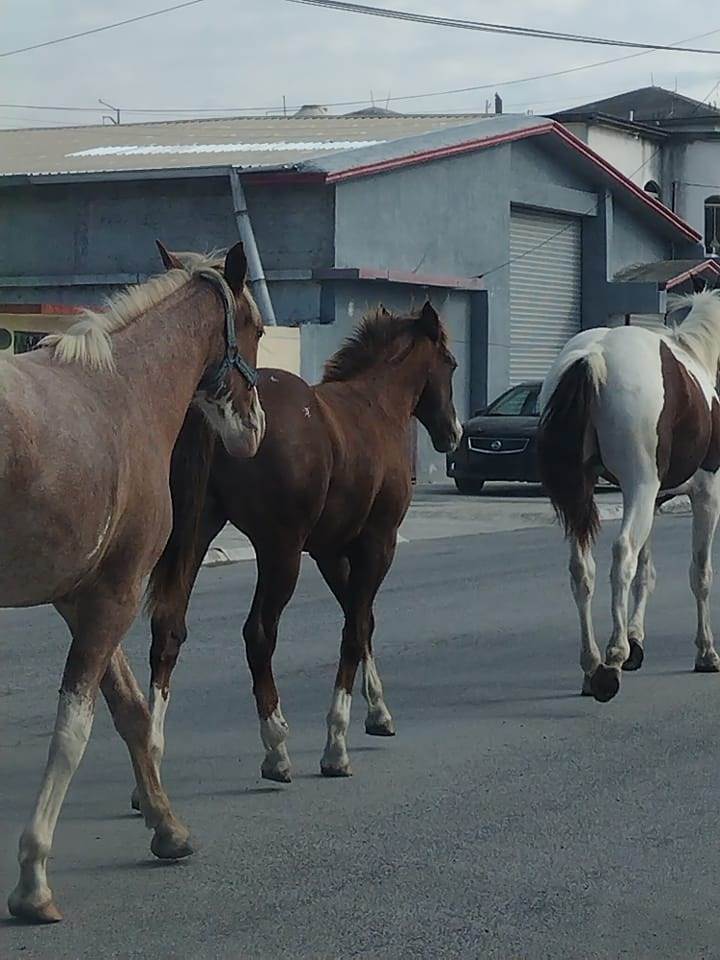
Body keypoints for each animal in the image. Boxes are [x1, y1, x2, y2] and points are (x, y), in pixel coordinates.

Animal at [1, 240, 266, 924]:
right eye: (255, 329)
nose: (254, 429)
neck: (123, 391)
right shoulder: (114, 598)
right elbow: (75, 728)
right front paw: (33, 875)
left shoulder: (82, 596)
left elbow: (130, 709)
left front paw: (166, 825)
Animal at [134, 298, 462, 796]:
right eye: (451, 362)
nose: (454, 433)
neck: (377, 406)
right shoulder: (377, 543)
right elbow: (353, 630)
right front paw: (336, 745)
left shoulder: (328, 550)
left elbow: (362, 621)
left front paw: (378, 712)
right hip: (279, 551)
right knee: (258, 634)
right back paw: (276, 750)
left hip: (199, 531)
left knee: (168, 629)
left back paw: (149, 763)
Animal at [536, 288, 720, 700]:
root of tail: (594, 358)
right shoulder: (706, 494)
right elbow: (700, 574)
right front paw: (705, 653)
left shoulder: (653, 500)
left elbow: (646, 572)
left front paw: (637, 641)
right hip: (640, 485)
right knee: (622, 555)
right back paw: (612, 660)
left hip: (590, 493)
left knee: (582, 569)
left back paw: (592, 666)